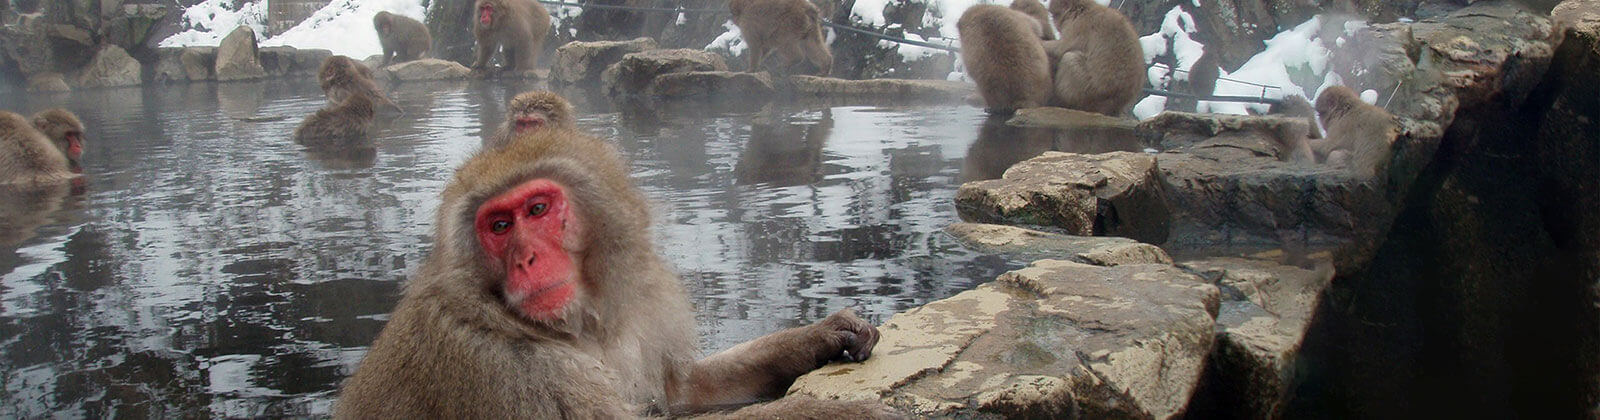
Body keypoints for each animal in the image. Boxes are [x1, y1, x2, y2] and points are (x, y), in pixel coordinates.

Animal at [332, 129, 902, 420]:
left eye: (536, 209)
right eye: (499, 226)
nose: (525, 259)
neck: (576, 330)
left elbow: (685, 391)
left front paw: (818, 337)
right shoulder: (503, 370)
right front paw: (850, 414)